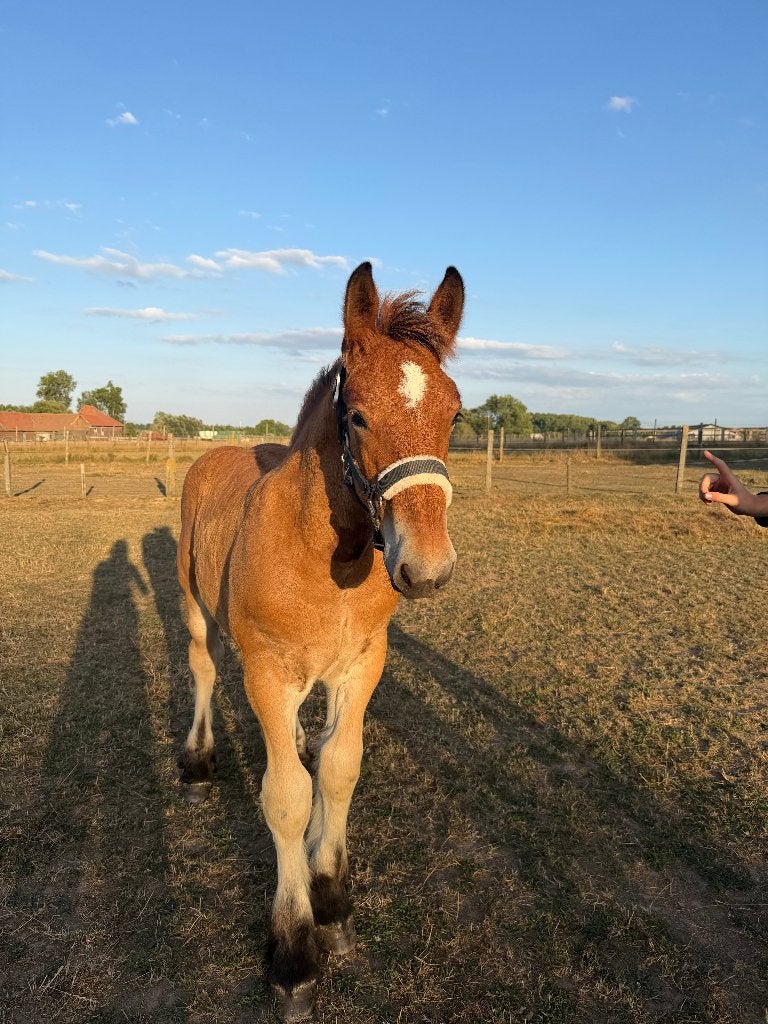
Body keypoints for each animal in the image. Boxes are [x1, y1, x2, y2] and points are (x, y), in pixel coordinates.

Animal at [176, 261, 464, 1019]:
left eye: (455, 414)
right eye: (357, 415)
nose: (427, 568)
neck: (322, 550)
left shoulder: (362, 664)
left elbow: (337, 770)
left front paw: (331, 898)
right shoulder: (268, 673)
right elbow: (285, 797)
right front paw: (294, 954)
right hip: (194, 606)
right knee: (202, 668)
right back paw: (197, 759)